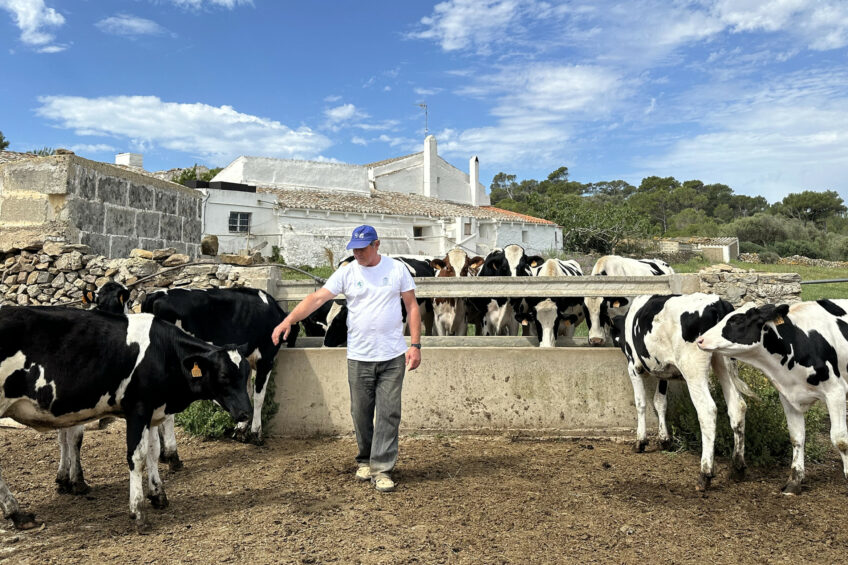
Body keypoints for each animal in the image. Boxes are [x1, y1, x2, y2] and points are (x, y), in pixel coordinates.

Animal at [0, 304, 252, 528]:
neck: (163, 352)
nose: (247, 412)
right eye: (223, 376)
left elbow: (154, 451)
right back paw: (16, 513)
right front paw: (138, 511)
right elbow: (137, 457)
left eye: (248, 373)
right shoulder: (138, 409)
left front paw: (158, 494)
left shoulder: (153, 410)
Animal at [140, 286, 298, 462]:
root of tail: (157, 294)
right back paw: (171, 452)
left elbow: (246, 392)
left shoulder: (244, 364)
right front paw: (256, 433)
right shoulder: (266, 359)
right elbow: (258, 397)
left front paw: (241, 429)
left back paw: (162, 454)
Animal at [608, 294, 748, 492]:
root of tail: (717, 303)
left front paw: (640, 441)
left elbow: (641, 403)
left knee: (707, 411)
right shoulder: (663, 371)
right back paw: (738, 467)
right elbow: (660, 402)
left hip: (693, 369)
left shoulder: (633, 366)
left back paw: (705, 473)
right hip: (725, 362)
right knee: (738, 406)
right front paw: (664, 439)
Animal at [700, 300, 848, 494]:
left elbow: (840, 440)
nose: (700, 340)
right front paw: (794, 482)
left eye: (736, 320)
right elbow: (796, 437)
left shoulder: (835, 392)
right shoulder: (788, 396)